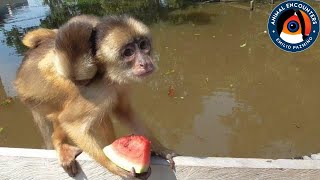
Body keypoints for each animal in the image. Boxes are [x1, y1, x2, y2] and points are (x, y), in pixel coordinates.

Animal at [15, 14, 176, 179]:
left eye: (143, 45)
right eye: (128, 52)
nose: (144, 62)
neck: (109, 74)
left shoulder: (120, 84)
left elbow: (123, 111)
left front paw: (160, 148)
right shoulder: (98, 89)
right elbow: (69, 122)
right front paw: (114, 166)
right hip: (36, 98)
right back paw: (58, 143)